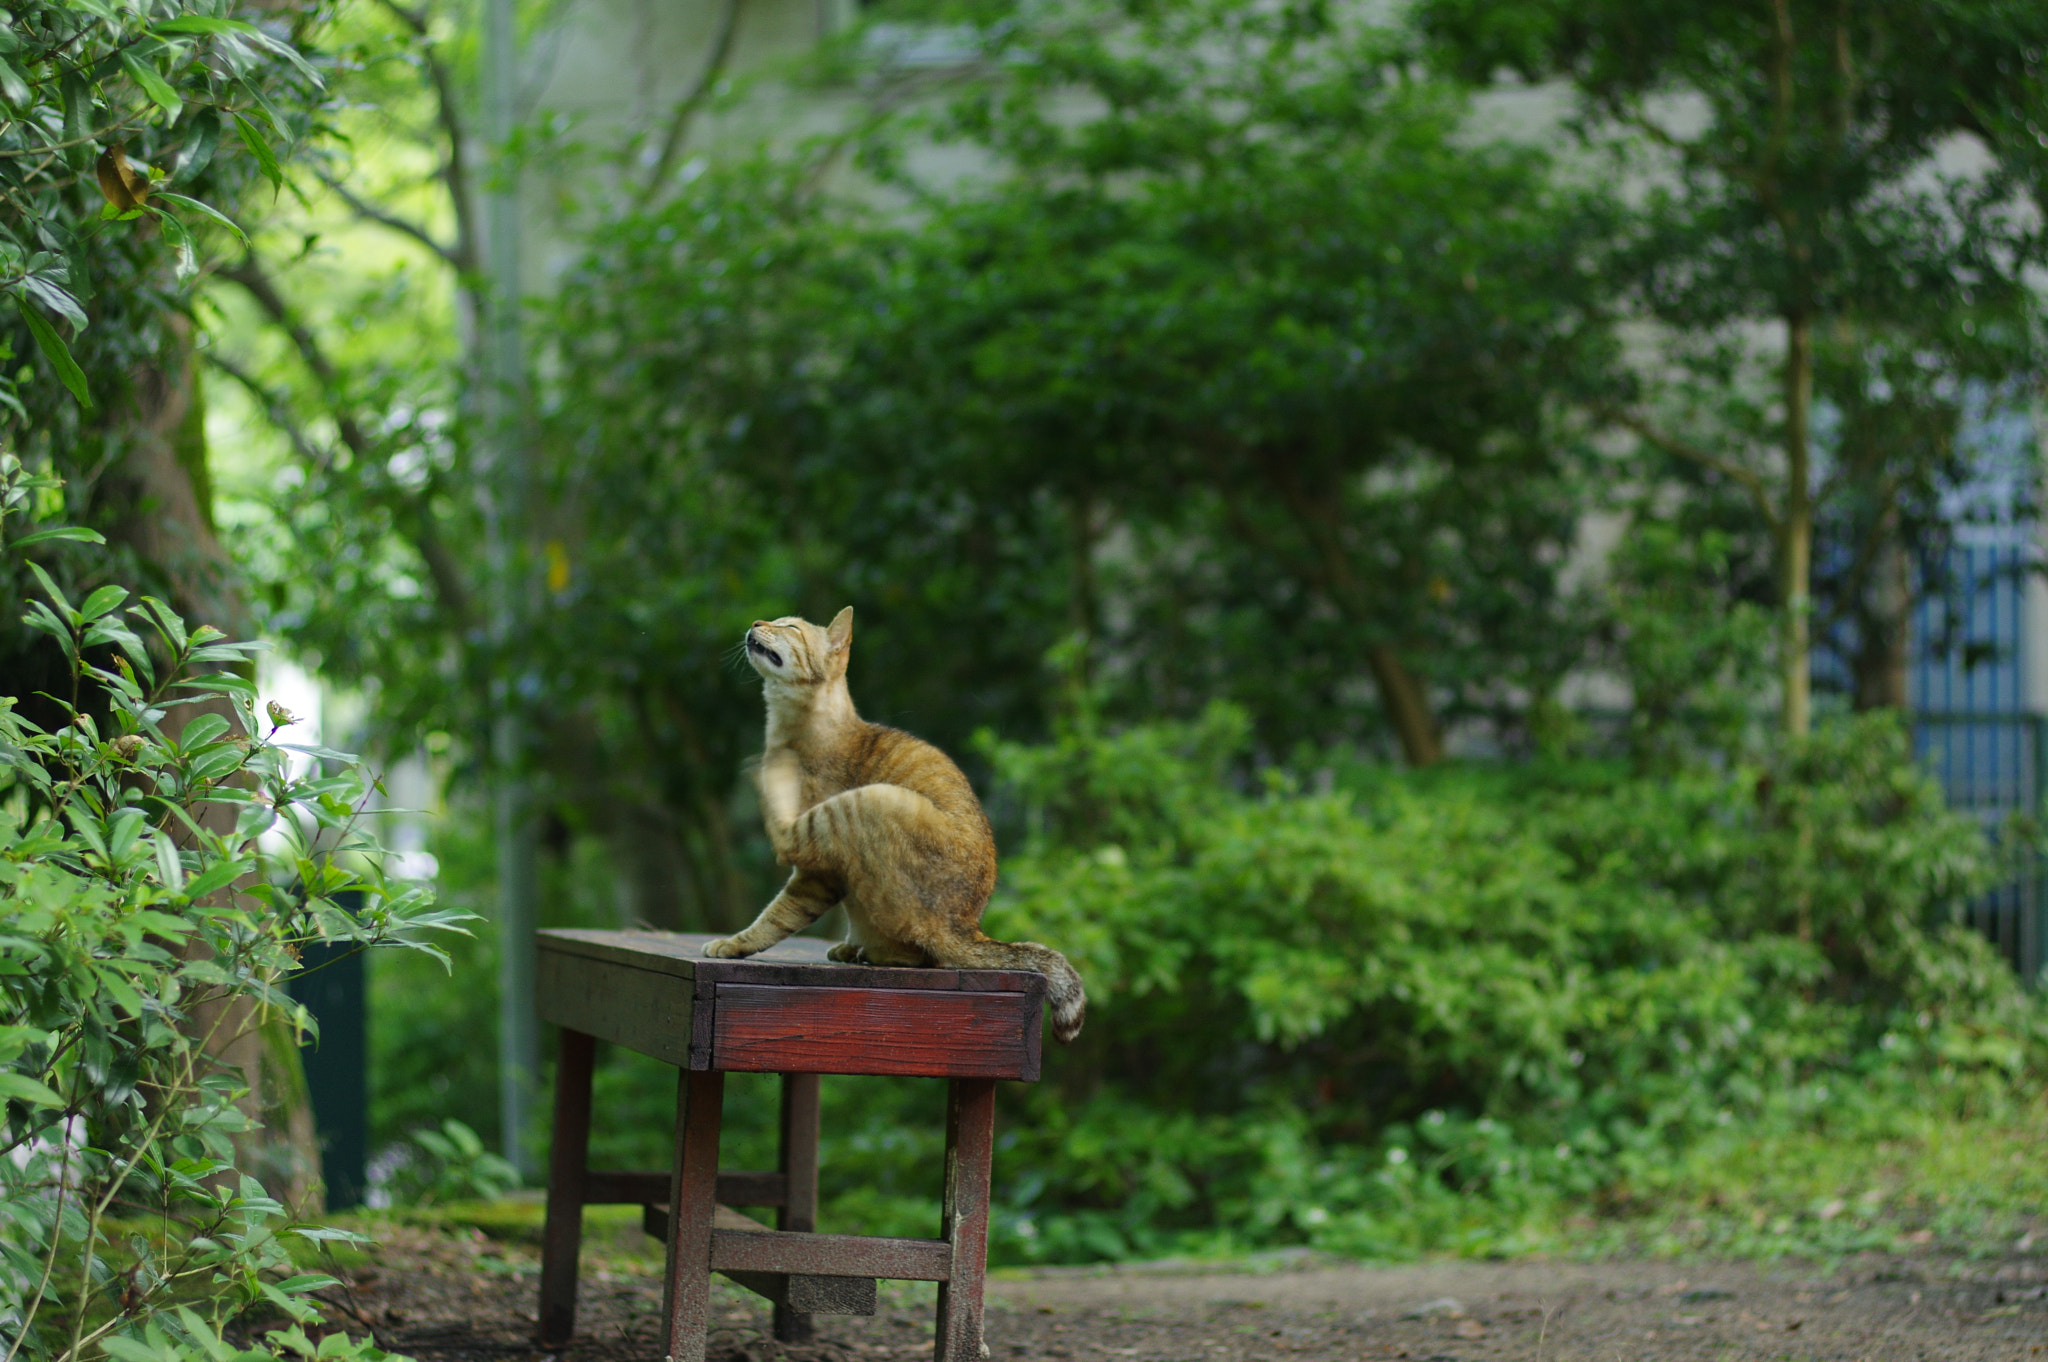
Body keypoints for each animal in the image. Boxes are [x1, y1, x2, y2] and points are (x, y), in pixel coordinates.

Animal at [704, 606, 1089, 1040]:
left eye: (790, 627)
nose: (756, 624)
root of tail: (963, 927)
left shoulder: (817, 869)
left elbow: (777, 914)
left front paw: (734, 944)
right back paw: (854, 947)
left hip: (873, 799)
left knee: (909, 950)